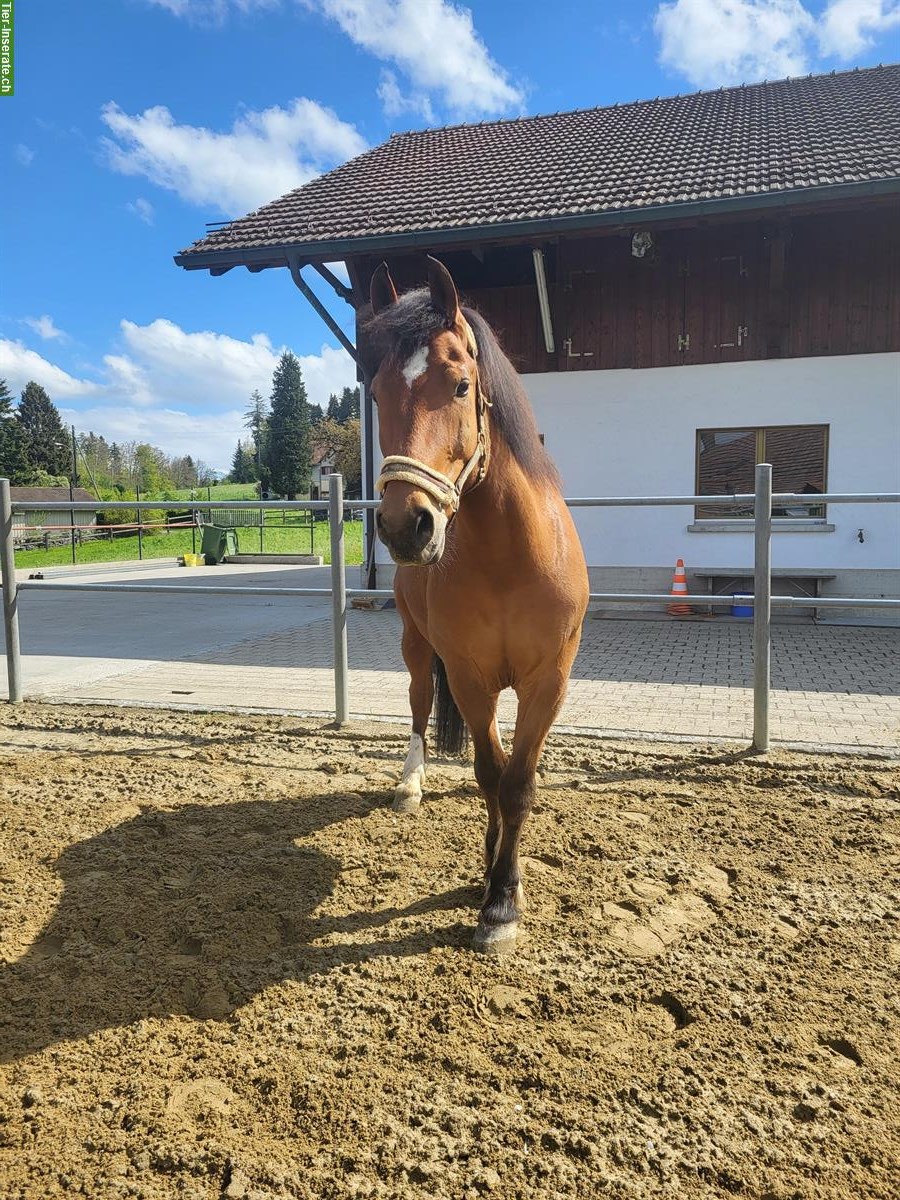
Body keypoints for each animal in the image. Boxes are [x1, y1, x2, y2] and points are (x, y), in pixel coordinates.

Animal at [367, 258, 592, 950]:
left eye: (462, 385)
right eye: (375, 393)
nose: (405, 526)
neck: (509, 559)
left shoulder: (547, 682)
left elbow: (517, 782)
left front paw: (503, 896)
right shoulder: (471, 679)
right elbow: (491, 775)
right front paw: (492, 882)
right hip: (417, 647)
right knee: (418, 706)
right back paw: (409, 785)